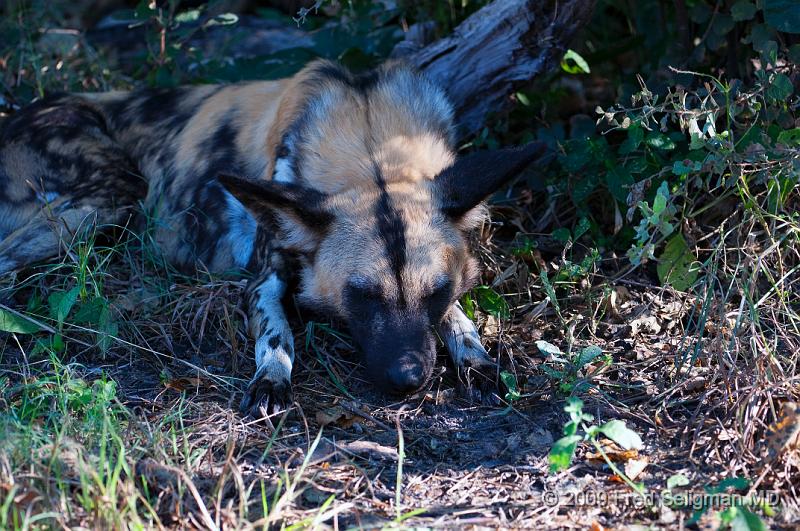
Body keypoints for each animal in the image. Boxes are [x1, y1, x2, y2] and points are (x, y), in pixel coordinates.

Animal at [0, 60, 544, 418]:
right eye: (361, 296)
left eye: (437, 291)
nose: (408, 379)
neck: (369, 143)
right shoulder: (262, 278)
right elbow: (276, 332)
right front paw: (272, 380)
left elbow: (458, 319)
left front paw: (477, 361)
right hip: (109, 197)